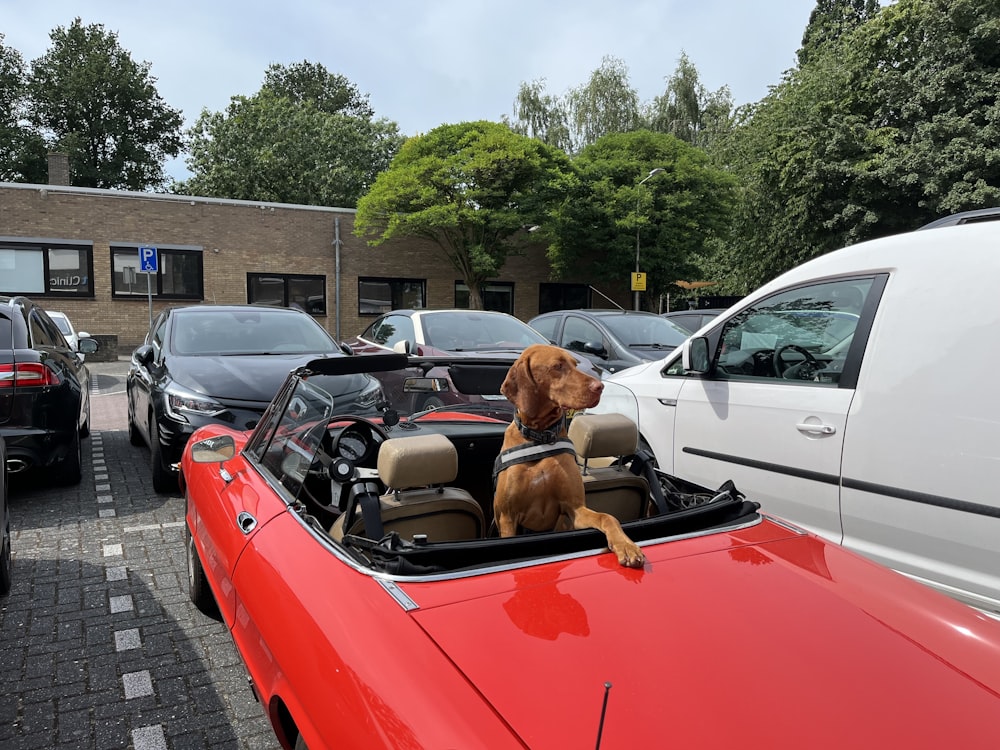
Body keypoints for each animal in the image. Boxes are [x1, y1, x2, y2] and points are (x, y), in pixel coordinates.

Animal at [494, 346, 648, 568]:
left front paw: (626, 545)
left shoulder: (574, 508)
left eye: (575, 364)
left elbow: (607, 517)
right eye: (557, 366)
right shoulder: (507, 517)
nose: (600, 386)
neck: (540, 436)